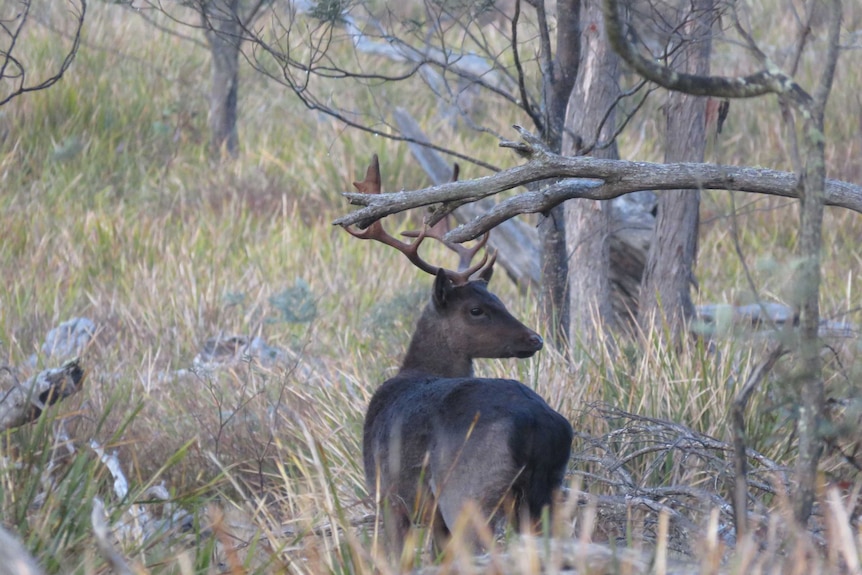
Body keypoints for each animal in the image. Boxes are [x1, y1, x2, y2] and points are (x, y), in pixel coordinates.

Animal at [342, 155, 572, 560]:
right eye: (479, 308)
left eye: (497, 301)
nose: (535, 338)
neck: (415, 371)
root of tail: (537, 425)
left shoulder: (387, 497)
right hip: (546, 492)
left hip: (466, 493)